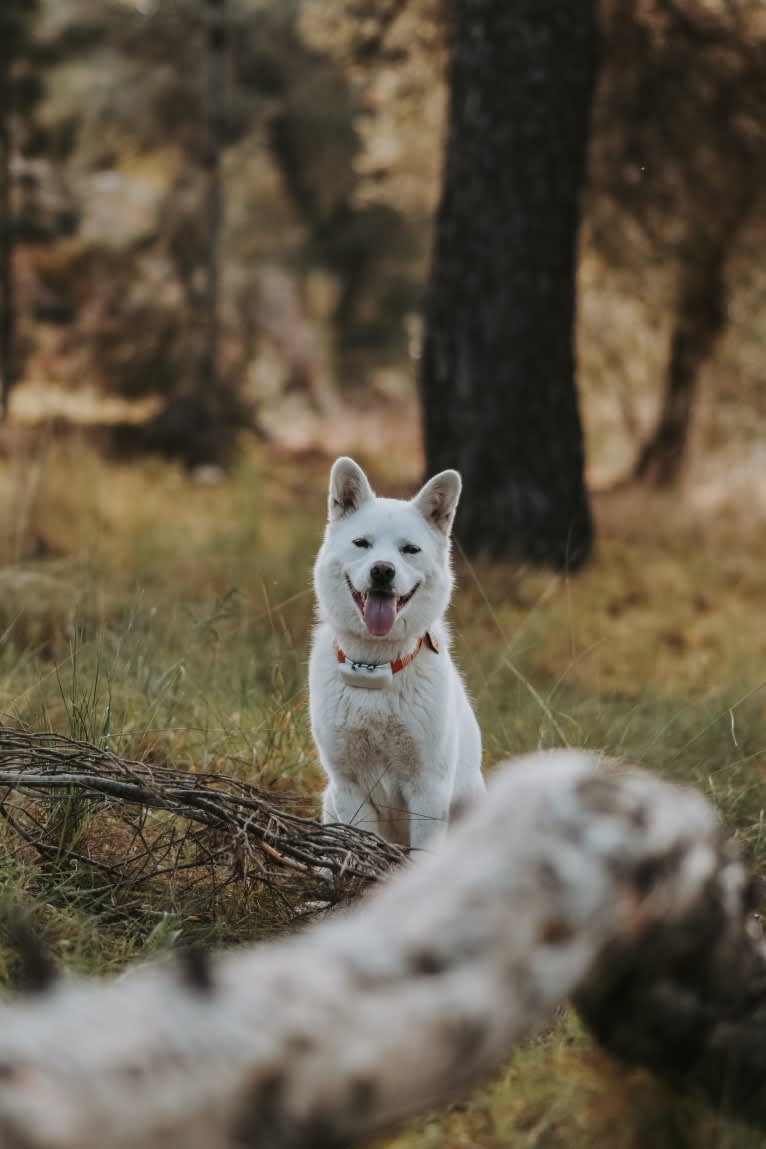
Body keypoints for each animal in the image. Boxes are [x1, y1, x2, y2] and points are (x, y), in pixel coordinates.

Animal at [307, 459, 482, 854]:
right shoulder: (349, 787)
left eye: (410, 550)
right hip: (329, 800)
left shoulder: (428, 790)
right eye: (361, 543)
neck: (373, 666)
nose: (382, 570)